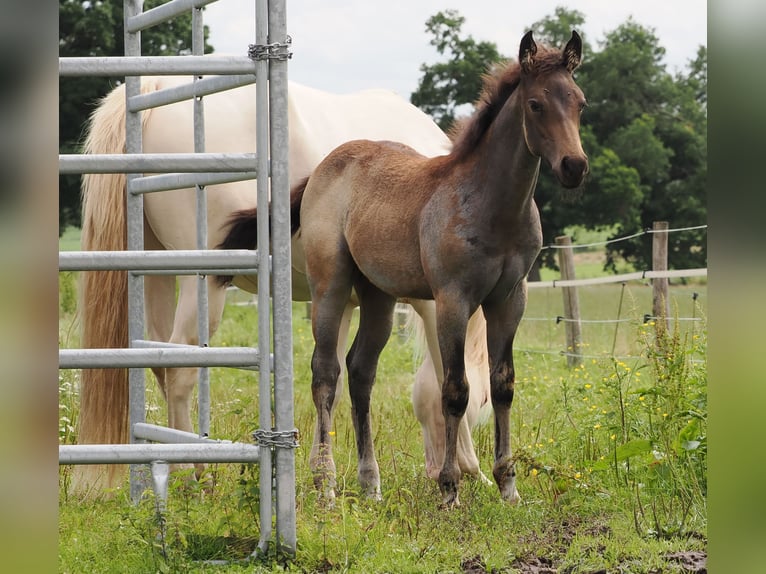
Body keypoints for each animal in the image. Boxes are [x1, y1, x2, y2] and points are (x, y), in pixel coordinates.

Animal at [74, 75, 493, 496]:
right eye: (488, 398)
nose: (434, 469)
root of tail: (158, 86)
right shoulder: (434, 303)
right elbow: (443, 378)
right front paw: (471, 468)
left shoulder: (340, 302)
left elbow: (331, 383)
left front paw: (321, 472)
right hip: (202, 283)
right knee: (180, 370)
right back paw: (194, 473)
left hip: (156, 273)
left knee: (161, 360)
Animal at [222, 31, 588, 507]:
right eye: (536, 104)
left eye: (580, 103)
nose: (574, 166)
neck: (491, 207)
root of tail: (324, 167)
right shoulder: (453, 300)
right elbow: (455, 390)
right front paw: (449, 487)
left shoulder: (510, 300)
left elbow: (502, 385)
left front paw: (508, 486)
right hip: (331, 288)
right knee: (326, 374)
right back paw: (327, 485)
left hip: (377, 296)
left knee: (361, 372)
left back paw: (370, 483)